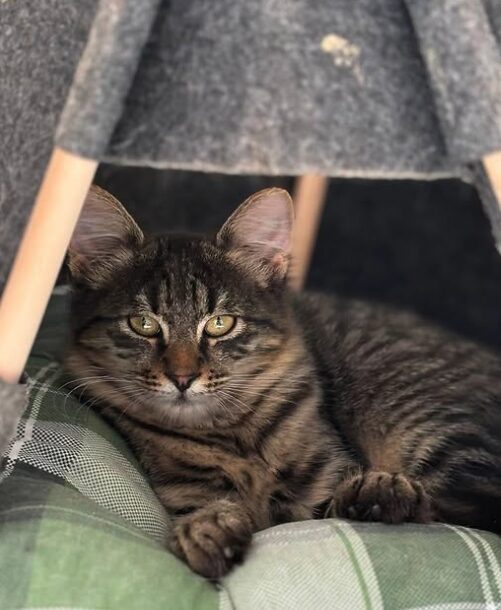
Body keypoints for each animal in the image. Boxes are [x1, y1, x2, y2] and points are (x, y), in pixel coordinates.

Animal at [65, 184, 500, 576]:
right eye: (143, 324)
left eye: (221, 324)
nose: (183, 378)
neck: (232, 435)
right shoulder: (185, 489)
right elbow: (206, 508)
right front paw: (207, 530)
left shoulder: (323, 481)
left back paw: (380, 493)